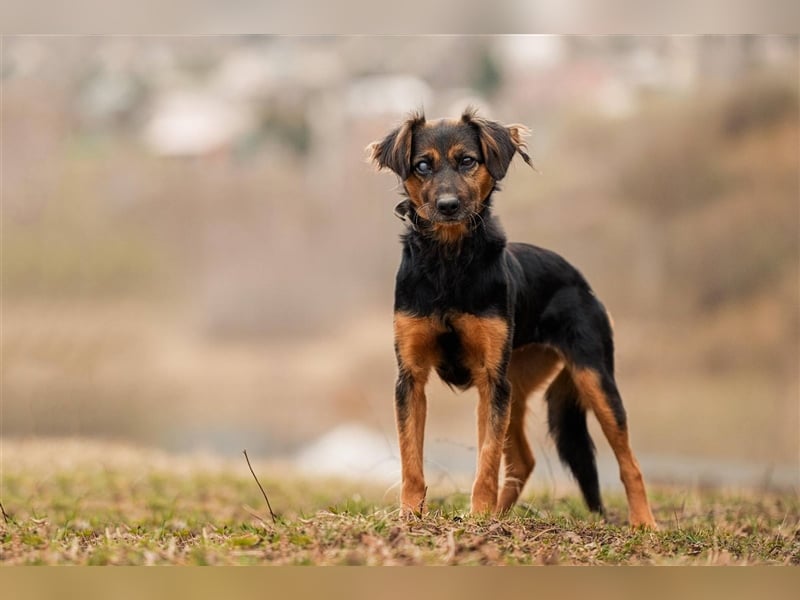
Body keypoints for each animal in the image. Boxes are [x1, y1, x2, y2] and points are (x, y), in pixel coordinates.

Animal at [368, 109, 656, 528]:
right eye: (422, 165)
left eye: (467, 161)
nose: (448, 205)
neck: (449, 260)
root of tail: (580, 280)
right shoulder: (411, 377)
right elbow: (411, 460)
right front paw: (411, 516)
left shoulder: (491, 379)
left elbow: (486, 459)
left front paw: (478, 516)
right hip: (518, 385)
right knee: (523, 459)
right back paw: (502, 516)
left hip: (592, 377)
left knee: (628, 462)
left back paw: (645, 523)